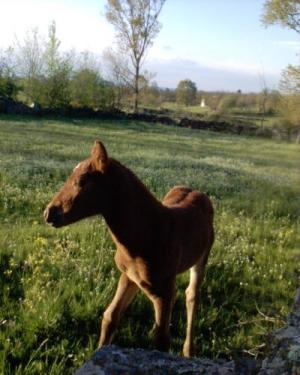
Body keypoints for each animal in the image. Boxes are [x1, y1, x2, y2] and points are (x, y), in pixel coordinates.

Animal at [44, 141, 213, 358]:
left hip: (203, 257)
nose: (49, 213)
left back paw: (188, 351)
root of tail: (198, 192)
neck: (145, 235)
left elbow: (161, 339)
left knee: (192, 295)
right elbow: (110, 316)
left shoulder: (165, 291)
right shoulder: (128, 276)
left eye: (81, 181)